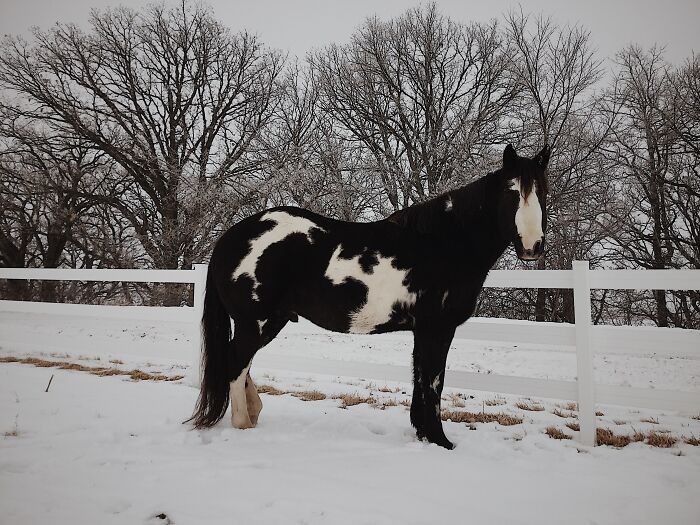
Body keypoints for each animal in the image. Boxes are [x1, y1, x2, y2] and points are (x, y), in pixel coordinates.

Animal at [191, 144, 552, 450]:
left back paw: (254, 413)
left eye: (543, 191)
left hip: (268, 321)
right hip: (256, 321)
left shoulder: (422, 330)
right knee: (236, 362)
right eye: (511, 191)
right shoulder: (437, 328)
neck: (444, 243)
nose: (531, 247)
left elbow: (420, 379)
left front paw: (422, 434)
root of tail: (230, 238)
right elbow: (434, 382)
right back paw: (243, 424)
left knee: (241, 362)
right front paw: (441, 441)